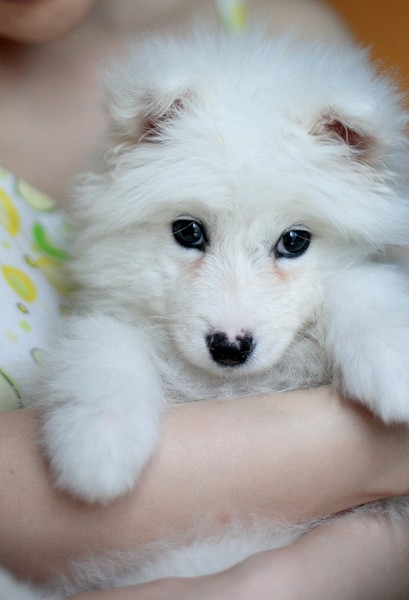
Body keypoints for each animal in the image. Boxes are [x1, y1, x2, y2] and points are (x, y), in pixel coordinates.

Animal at [1, 29, 406, 600]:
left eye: (294, 241)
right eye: (188, 231)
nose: (230, 347)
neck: (229, 388)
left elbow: (360, 282)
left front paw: (392, 363)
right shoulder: (106, 318)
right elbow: (100, 344)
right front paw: (99, 444)